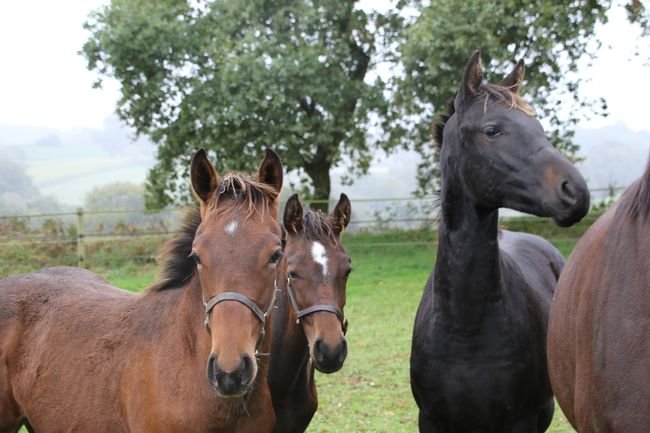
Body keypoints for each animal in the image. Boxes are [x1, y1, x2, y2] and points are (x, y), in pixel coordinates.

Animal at [410, 50, 590, 433]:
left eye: (539, 127)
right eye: (492, 129)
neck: (465, 328)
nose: (575, 192)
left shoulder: (521, 419)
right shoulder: (431, 419)